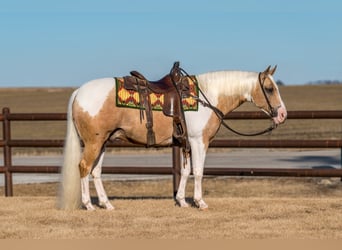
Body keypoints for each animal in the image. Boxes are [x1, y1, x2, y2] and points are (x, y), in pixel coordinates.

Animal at [58, 63, 286, 210]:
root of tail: (79, 92)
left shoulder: (186, 144)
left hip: (103, 142)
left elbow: (185, 172)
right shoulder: (198, 141)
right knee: (84, 168)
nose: (283, 114)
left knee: (95, 171)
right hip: (93, 143)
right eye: (269, 88)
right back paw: (88, 205)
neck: (207, 97)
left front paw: (182, 201)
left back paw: (106, 204)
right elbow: (199, 171)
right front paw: (199, 202)